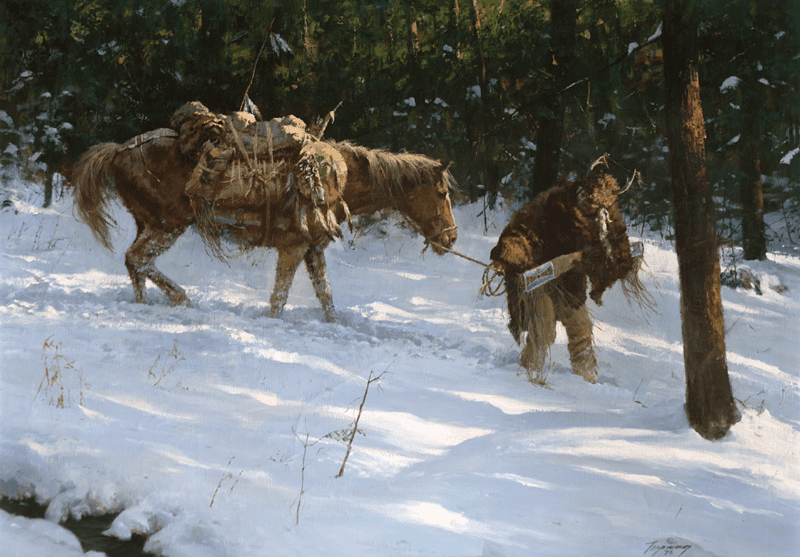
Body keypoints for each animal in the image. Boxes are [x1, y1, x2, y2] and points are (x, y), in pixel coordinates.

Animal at [69, 105, 457, 323]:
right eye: (442, 193)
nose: (451, 238)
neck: (335, 179)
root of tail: (117, 151)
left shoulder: (312, 250)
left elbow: (326, 299)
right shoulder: (292, 249)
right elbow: (279, 300)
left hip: (147, 223)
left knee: (134, 263)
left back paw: (145, 304)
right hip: (167, 225)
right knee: (138, 259)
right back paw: (181, 298)